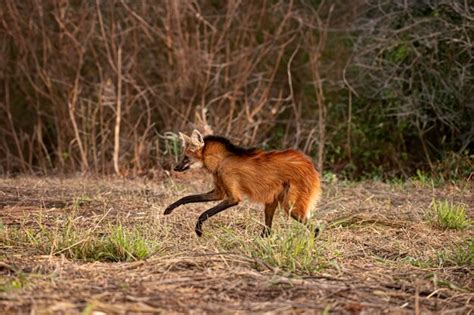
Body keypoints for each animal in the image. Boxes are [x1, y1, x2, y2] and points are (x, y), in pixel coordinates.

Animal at [163, 130, 322, 237]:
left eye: (185, 158)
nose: (175, 168)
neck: (221, 161)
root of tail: (311, 167)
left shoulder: (233, 196)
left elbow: (204, 214)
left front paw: (198, 231)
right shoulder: (218, 191)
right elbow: (187, 197)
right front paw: (168, 209)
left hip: (291, 206)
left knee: (315, 228)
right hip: (273, 200)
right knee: (268, 230)